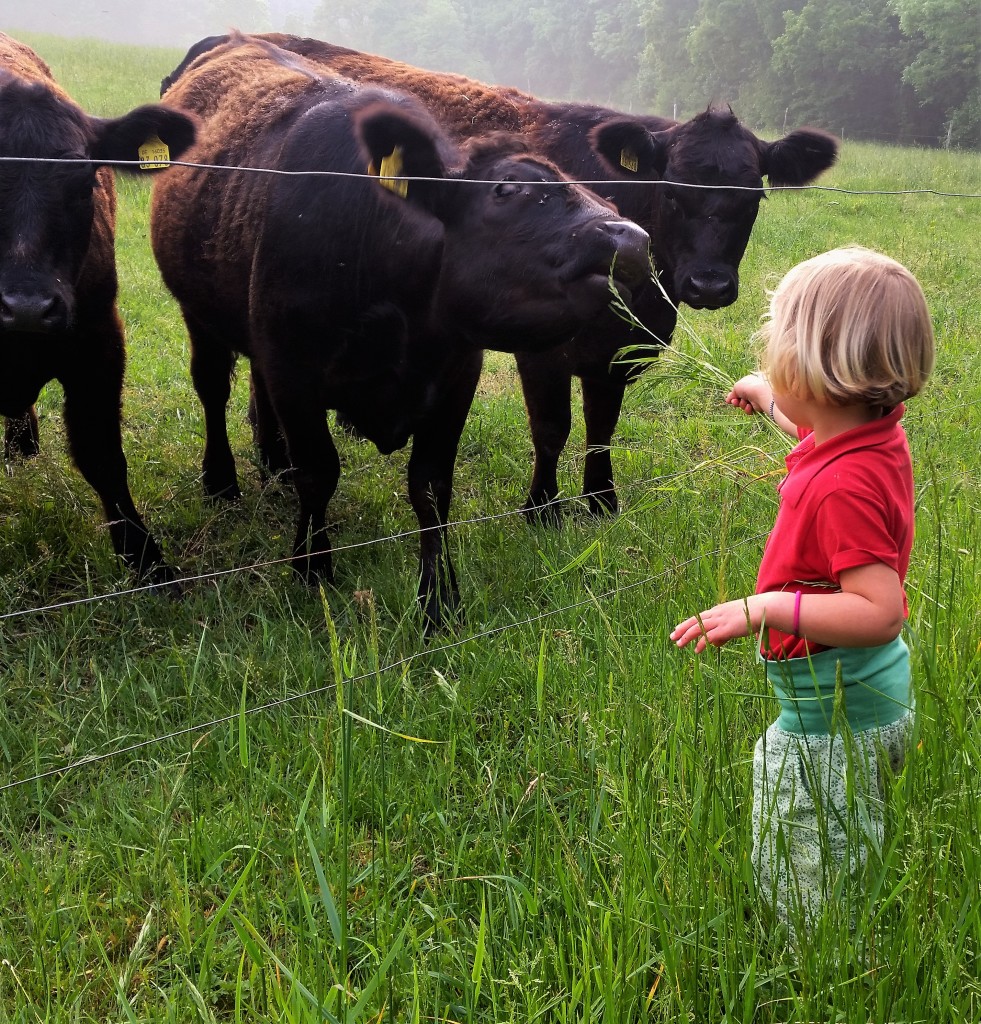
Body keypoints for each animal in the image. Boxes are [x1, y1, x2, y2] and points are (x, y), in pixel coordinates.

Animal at [153, 39, 651, 626]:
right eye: (507, 189)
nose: (631, 238)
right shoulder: (294, 369)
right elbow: (318, 471)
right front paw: (312, 567)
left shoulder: (456, 376)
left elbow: (431, 486)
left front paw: (438, 599)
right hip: (199, 313)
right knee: (212, 387)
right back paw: (221, 480)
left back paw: (272, 462)